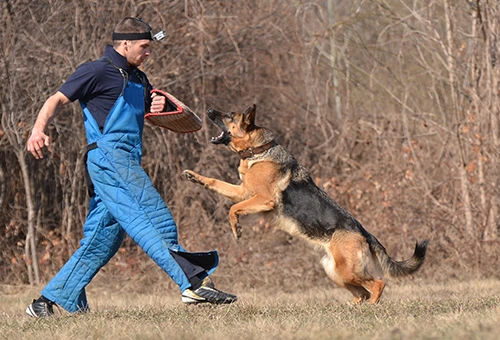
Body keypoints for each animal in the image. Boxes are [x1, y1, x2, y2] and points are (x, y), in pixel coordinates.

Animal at [182, 105, 428, 304]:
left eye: (229, 115)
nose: (208, 110)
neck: (258, 151)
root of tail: (365, 234)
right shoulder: (243, 192)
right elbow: (215, 183)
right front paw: (194, 177)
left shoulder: (262, 199)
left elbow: (232, 209)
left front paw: (237, 229)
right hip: (334, 271)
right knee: (362, 293)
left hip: (346, 271)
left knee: (378, 284)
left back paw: (372, 308)